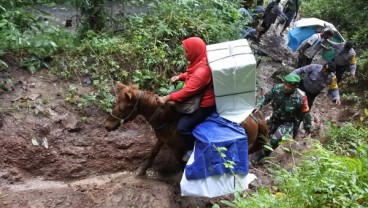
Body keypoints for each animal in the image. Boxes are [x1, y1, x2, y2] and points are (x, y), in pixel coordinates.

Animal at [102, 82, 268, 176]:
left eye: (122, 108)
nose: (106, 126)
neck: (167, 119)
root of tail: (254, 119)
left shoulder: (179, 148)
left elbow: (181, 164)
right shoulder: (161, 140)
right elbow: (152, 154)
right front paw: (141, 171)